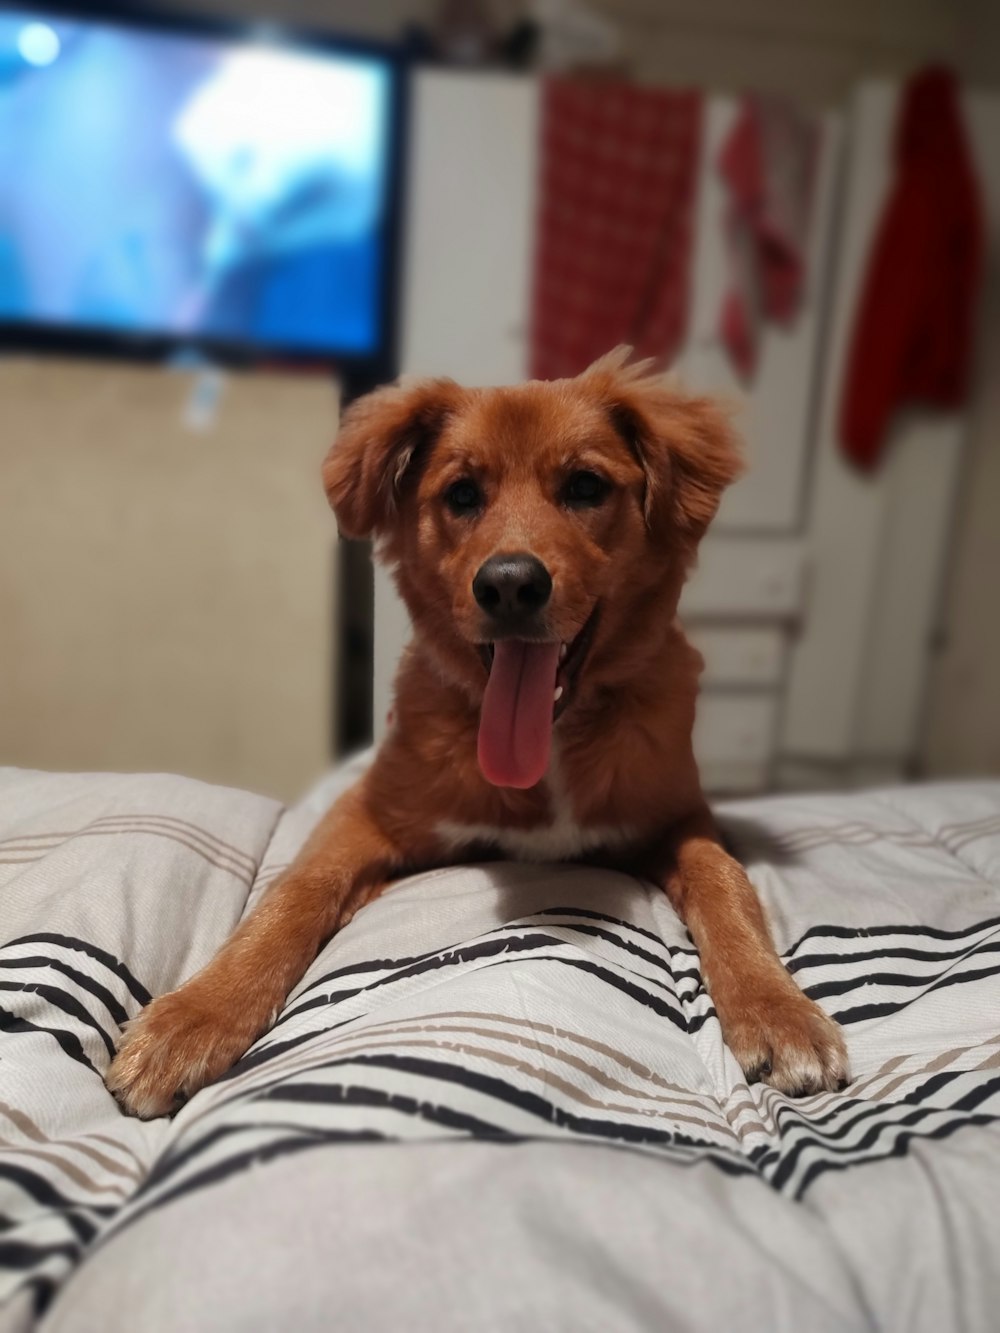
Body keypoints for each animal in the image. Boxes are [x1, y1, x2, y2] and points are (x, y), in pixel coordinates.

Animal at [108, 349, 848, 1119]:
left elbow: (725, 881)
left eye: (585, 486)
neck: (548, 746)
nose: (511, 585)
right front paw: (196, 1014)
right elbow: (296, 890)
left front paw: (777, 1009)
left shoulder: (681, 817)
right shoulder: (369, 813)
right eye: (462, 494)